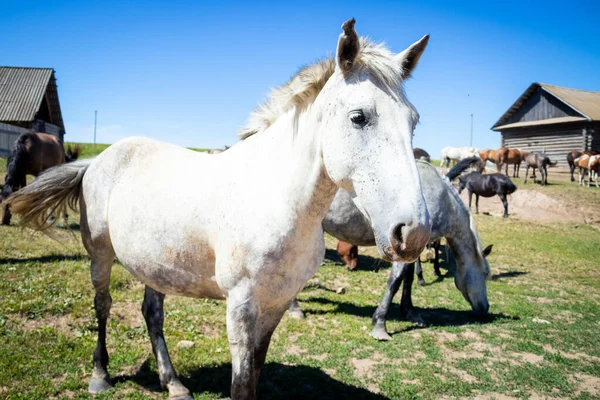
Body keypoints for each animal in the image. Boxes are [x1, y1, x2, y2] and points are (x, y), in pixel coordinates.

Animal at [8, 18, 432, 400]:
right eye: (359, 117)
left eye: (414, 121)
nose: (413, 233)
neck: (276, 199)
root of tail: (98, 161)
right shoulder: (241, 305)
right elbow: (241, 384)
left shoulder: (276, 303)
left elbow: (255, 373)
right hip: (99, 255)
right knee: (103, 305)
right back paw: (100, 376)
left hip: (153, 263)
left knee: (152, 313)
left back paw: (174, 383)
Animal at [290, 162, 492, 340]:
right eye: (485, 274)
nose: (485, 308)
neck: (438, 195)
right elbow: (394, 282)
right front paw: (380, 324)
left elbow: (408, 279)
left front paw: (410, 312)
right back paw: (295, 309)